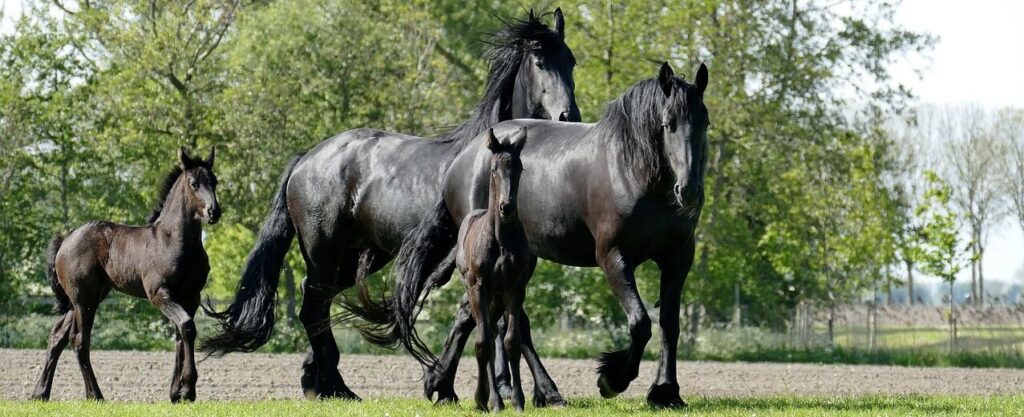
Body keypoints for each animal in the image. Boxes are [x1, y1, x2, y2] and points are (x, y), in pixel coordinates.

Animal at [31, 147, 220, 402]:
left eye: (215, 182)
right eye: (194, 183)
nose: (214, 212)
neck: (174, 240)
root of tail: (65, 240)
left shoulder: (191, 296)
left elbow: (181, 335)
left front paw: (177, 392)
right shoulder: (159, 294)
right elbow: (187, 327)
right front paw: (188, 389)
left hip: (86, 298)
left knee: (57, 336)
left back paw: (40, 393)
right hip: (84, 300)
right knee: (79, 340)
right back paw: (95, 395)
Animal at [453, 127, 530, 412]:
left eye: (519, 168)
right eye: (494, 168)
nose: (506, 207)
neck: (501, 240)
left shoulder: (515, 289)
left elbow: (511, 342)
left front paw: (518, 401)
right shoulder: (479, 288)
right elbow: (482, 343)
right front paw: (486, 400)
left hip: (497, 299)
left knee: (495, 332)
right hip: (479, 293)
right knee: (483, 334)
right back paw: (487, 398)